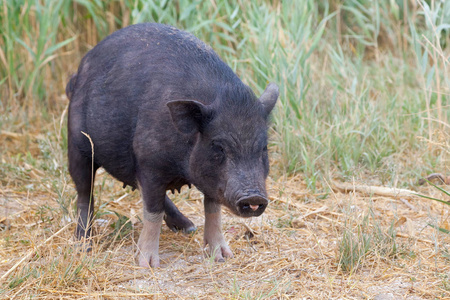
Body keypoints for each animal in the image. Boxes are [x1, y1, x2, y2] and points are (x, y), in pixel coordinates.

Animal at [66, 23, 278, 268]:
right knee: (85, 193)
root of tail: (79, 70)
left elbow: (213, 211)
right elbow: (152, 211)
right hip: (77, 145)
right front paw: (147, 264)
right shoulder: (148, 162)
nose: (254, 197)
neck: (180, 165)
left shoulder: (211, 179)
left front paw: (222, 256)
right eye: (218, 146)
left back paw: (188, 227)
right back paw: (83, 245)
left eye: (263, 148)